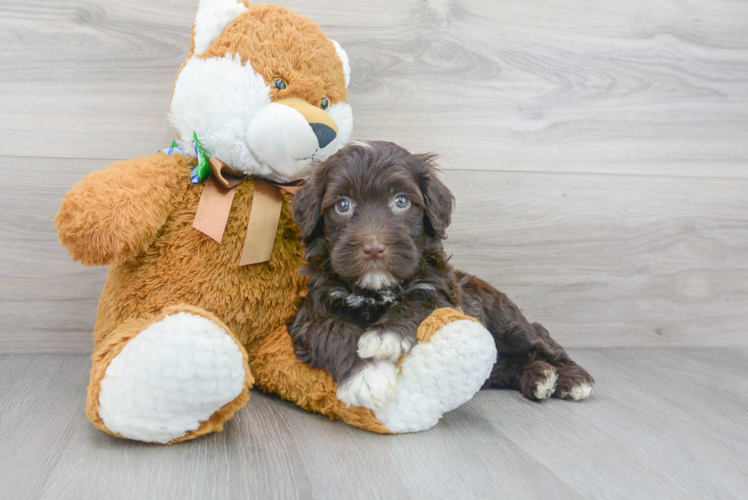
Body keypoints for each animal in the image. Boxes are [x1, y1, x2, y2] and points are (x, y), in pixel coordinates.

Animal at [288, 139, 596, 408]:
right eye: (342, 204)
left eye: (401, 201)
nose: (374, 248)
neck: (376, 289)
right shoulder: (311, 314)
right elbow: (333, 330)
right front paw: (368, 376)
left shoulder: (440, 295)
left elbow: (416, 302)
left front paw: (385, 335)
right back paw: (538, 376)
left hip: (506, 321)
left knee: (539, 338)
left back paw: (572, 379)